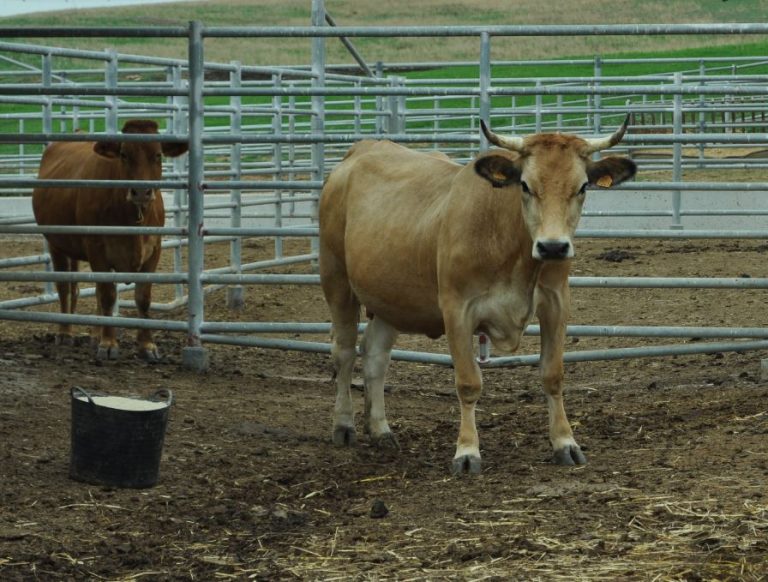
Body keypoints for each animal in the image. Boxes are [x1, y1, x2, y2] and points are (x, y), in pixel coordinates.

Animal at [32, 121, 189, 362]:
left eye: (158, 155)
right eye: (124, 154)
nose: (141, 192)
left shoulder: (154, 250)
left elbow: (142, 298)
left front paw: (147, 345)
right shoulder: (97, 249)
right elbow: (107, 295)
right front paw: (108, 343)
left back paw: (94, 334)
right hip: (56, 244)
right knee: (65, 287)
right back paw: (65, 332)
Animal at [318, 116, 636, 476]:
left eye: (582, 187)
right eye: (525, 185)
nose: (553, 247)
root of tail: (361, 150)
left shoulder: (557, 303)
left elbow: (552, 375)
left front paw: (565, 443)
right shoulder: (457, 309)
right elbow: (469, 383)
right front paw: (467, 451)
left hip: (390, 299)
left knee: (375, 356)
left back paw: (381, 430)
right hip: (337, 280)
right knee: (344, 352)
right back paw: (344, 425)